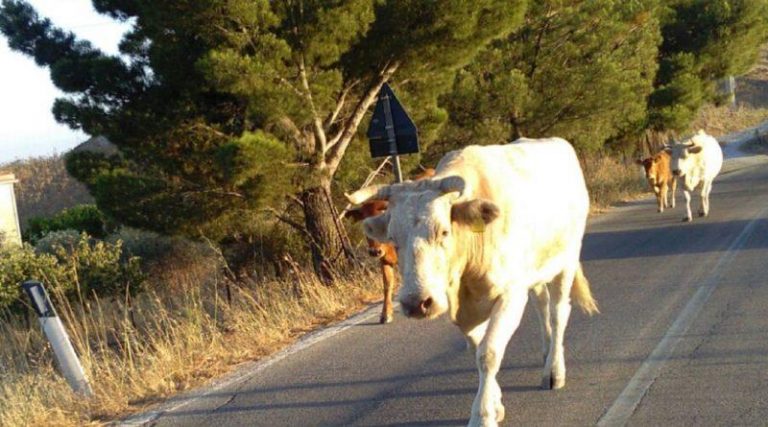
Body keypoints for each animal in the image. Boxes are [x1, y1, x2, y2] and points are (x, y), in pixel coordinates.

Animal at [344, 167, 436, 324]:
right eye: (364, 221)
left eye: (382, 216)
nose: (374, 251)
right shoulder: (384, 260)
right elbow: (387, 285)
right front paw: (386, 314)